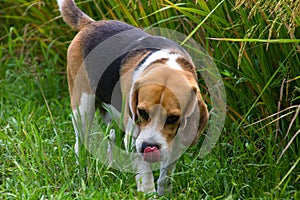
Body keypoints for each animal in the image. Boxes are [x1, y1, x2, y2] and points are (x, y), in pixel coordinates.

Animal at [58, 0, 209, 195]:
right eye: (142, 112)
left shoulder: (175, 142)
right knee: (81, 145)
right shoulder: (134, 138)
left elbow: (166, 174)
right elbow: (145, 173)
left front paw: (163, 193)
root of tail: (91, 24)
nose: (148, 147)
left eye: (173, 118)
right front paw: (148, 194)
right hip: (83, 109)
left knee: (111, 137)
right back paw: (83, 174)